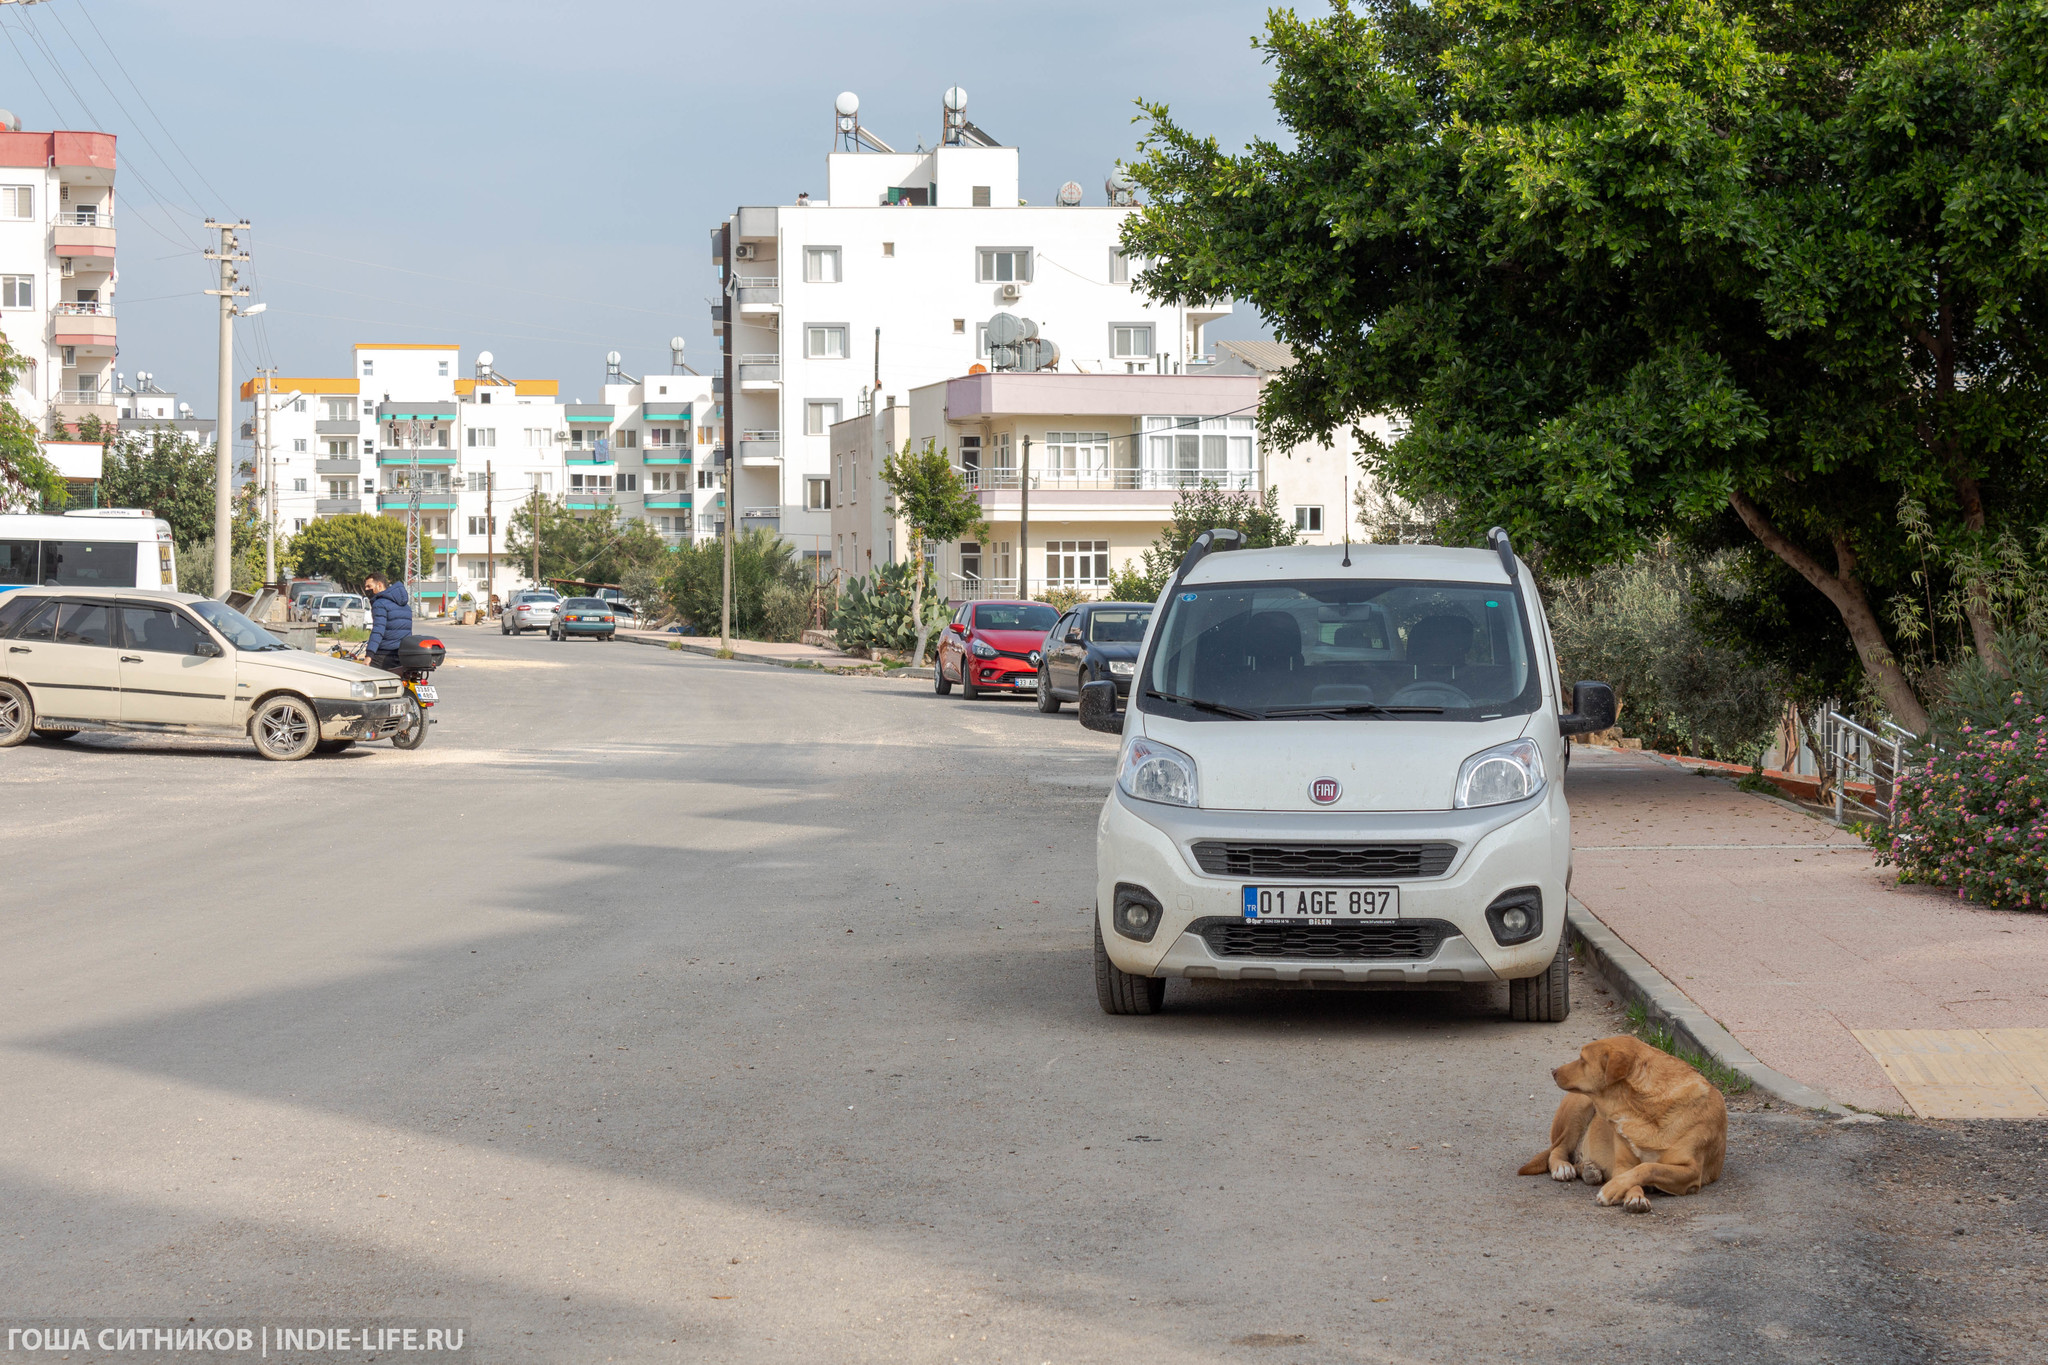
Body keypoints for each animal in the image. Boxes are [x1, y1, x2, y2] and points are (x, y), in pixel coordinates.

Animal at [1523, 1035, 1728, 1219]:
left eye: (1582, 1059)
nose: (1553, 1071)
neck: (1643, 1109)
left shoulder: (1691, 1171)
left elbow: (1648, 1167)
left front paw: (1616, 1190)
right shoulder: (1623, 1165)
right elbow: (1634, 1174)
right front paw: (1635, 1196)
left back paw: (1589, 1171)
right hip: (1580, 1106)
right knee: (1558, 1149)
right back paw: (1563, 1168)